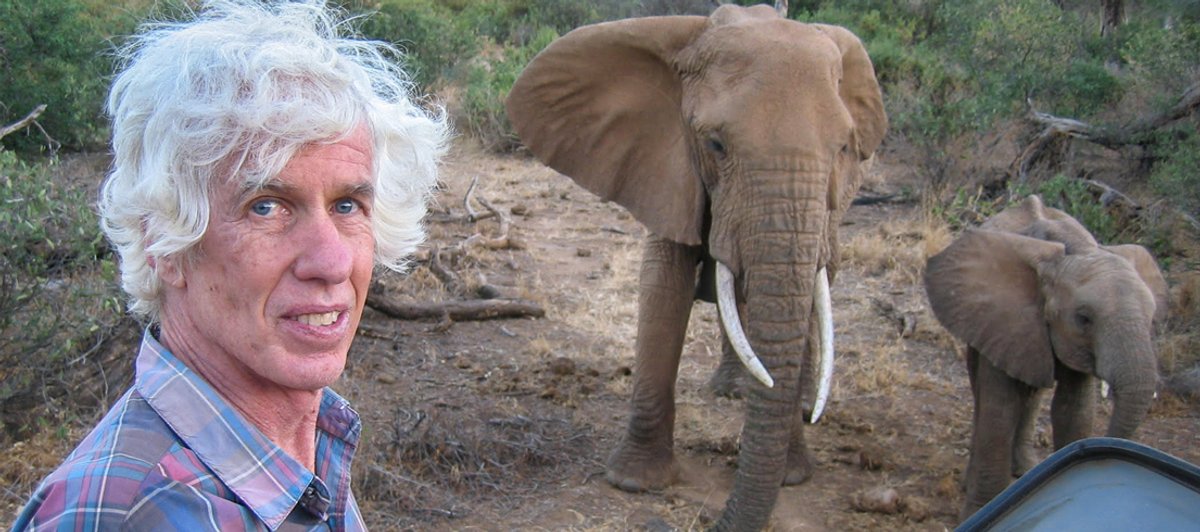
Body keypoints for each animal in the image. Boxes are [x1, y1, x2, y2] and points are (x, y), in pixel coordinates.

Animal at [505, 4, 887, 530]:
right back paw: (734, 389)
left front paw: (793, 476)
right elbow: (663, 283)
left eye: (844, 148)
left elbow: (806, 290)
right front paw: (634, 482)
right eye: (715, 145)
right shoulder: (663, 162)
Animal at [923, 194, 1168, 520]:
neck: (1075, 249)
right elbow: (1000, 409)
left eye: (1152, 318)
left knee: (1033, 392)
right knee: (984, 390)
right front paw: (981, 510)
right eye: (1083, 319)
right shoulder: (1001, 315)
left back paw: (1025, 470)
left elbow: (1074, 409)